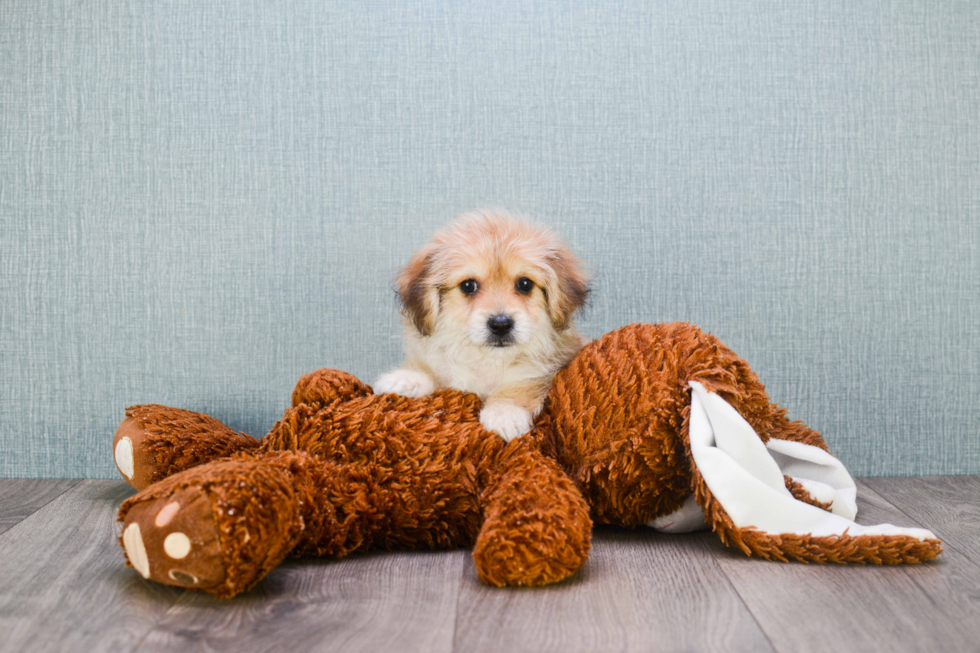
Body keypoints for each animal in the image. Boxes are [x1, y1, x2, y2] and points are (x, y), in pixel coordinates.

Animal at [376, 209, 588, 440]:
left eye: (525, 284)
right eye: (468, 286)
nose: (501, 324)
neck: (488, 361)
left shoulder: (545, 373)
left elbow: (522, 385)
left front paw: (505, 413)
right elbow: (433, 370)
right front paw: (406, 378)